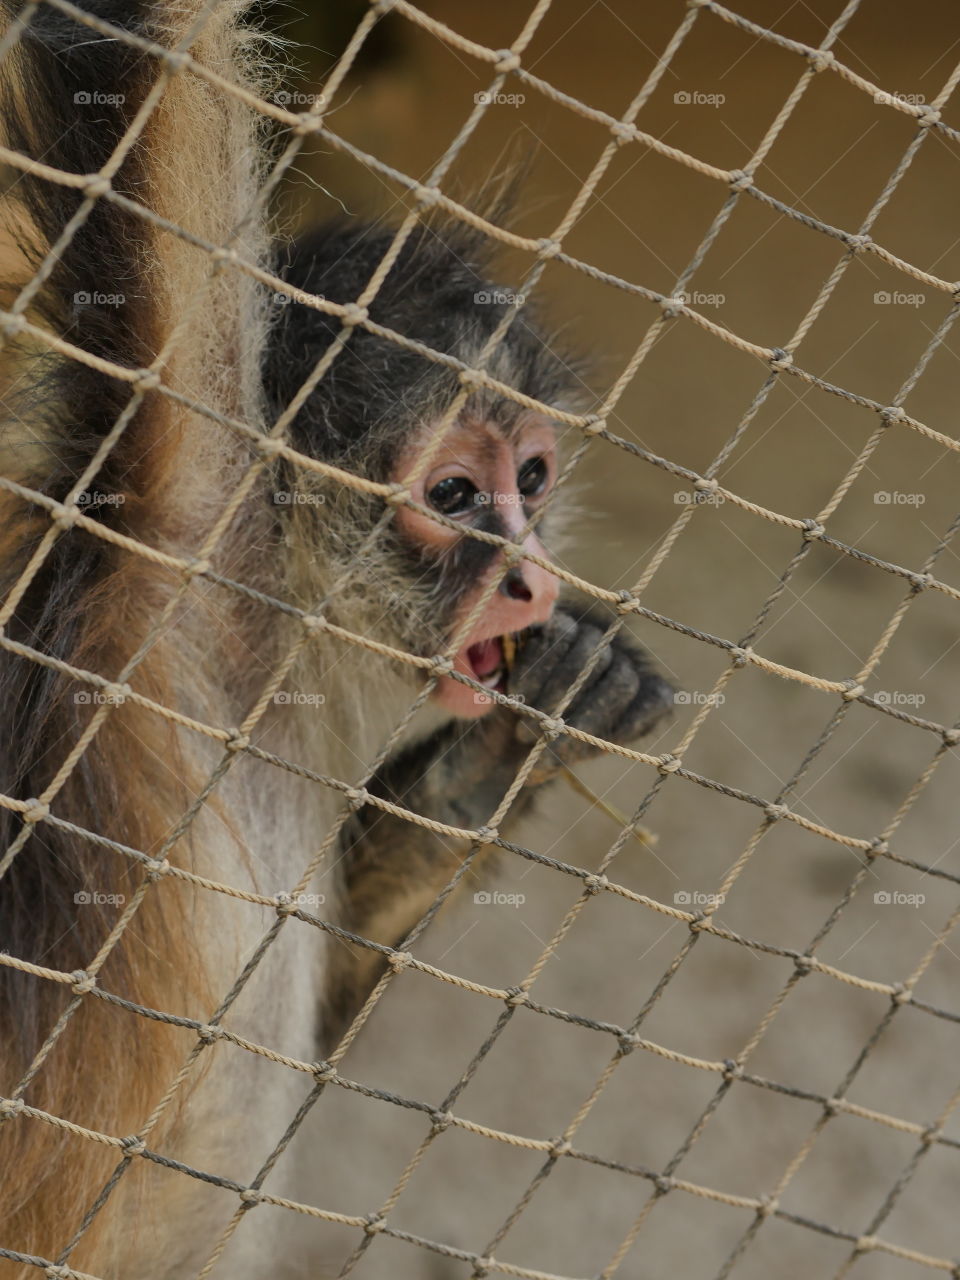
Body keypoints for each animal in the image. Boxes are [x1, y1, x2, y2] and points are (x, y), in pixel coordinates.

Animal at [0, 3, 672, 1277]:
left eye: (533, 479)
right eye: (453, 494)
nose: (530, 579)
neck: (267, 651)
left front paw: (505, 749)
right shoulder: (180, 533)